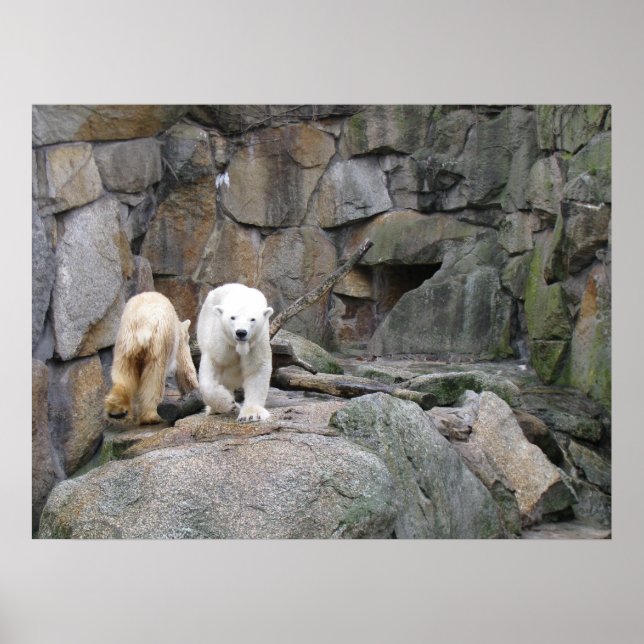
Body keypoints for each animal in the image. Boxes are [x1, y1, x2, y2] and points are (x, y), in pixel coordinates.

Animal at [104, 291, 199, 424]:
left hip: (125, 343)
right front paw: (195, 390)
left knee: (123, 374)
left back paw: (116, 410)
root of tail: (143, 325)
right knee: (155, 377)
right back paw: (153, 416)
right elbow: (185, 368)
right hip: (159, 343)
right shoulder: (177, 342)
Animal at [197, 283, 274, 422]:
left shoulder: (256, 343)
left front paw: (251, 414)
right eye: (232, 317)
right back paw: (215, 409)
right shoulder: (222, 341)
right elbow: (213, 363)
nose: (241, 332)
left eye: (252, 319)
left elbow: (256, 368)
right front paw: (228, 403)